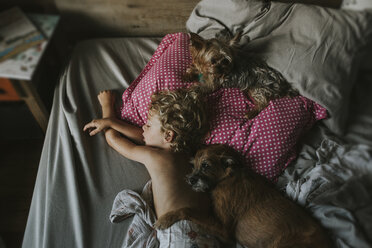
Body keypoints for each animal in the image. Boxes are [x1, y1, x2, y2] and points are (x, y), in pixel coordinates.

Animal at [186, 143, 334, 248]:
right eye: (192, 165)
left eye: (205, 165)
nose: (190, 180)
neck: (228, 176)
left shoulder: (224, 229)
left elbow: (195, 217)